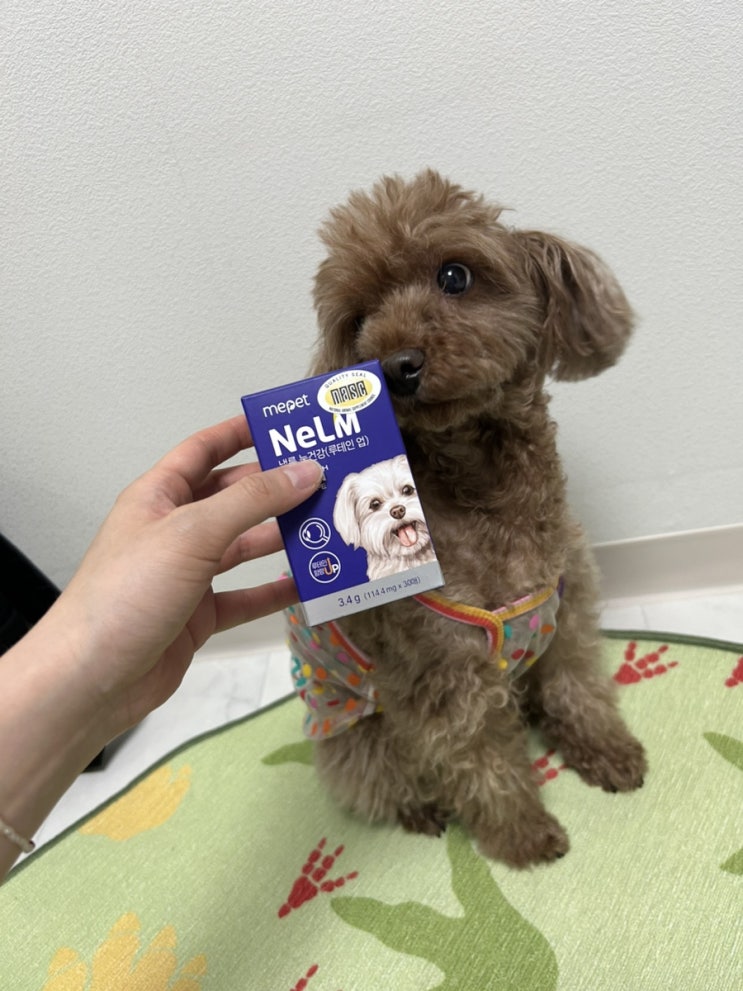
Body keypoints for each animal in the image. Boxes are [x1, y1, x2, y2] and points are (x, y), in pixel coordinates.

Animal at [296, 169, 646, 867]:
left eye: (454, 276)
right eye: (358, 321)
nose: (397, 365)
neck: (484, 489)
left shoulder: (565, 612)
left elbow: (577, 688)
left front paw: (608, 753)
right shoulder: (442, 671)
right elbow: (479, 756)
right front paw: (521, 834)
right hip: (354, 731)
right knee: (376, 779)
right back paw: (420, 809)